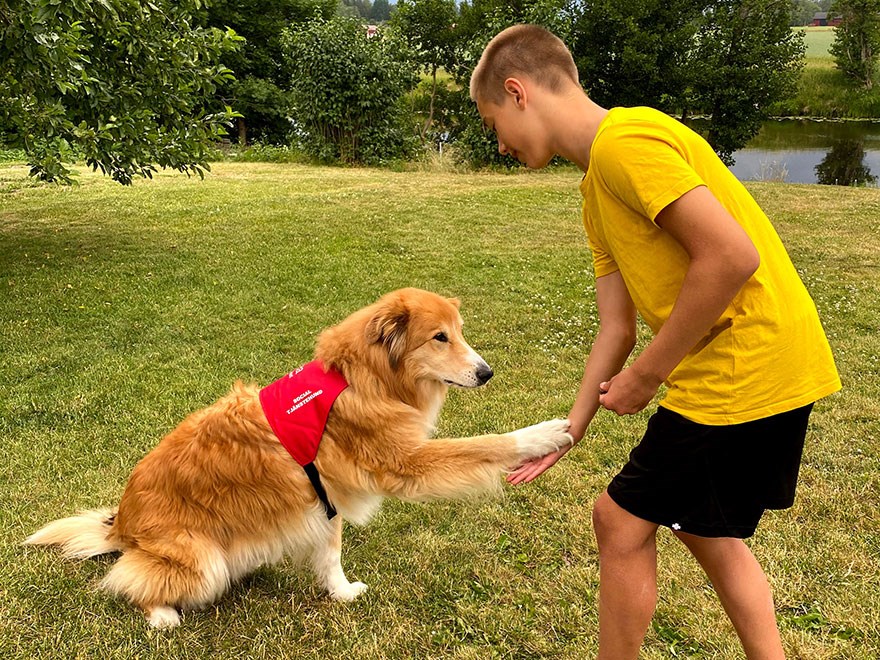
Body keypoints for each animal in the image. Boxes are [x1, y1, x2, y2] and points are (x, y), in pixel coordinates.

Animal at [25, 288, 572, 628]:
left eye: (458, 332)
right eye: (440, 337)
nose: (486, 372)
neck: (359, 377)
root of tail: (122, 524)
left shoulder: (323, 498)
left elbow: (330, 556)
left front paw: (342, 593)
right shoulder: (404, 463)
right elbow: (487, 443)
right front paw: (543, 435)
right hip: (201, 561)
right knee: (127, 582)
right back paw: (161, 614)